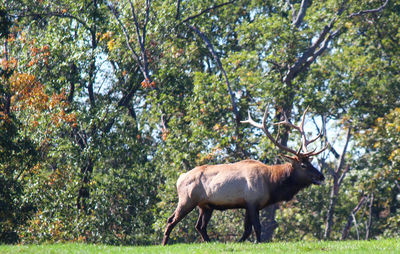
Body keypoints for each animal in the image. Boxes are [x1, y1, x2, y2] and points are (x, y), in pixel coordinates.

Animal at [161, 104, 326, 245]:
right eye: (303, 165)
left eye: (311, 162)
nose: (321, 176)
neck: (272, 184)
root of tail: (180, 178)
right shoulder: (252, 201)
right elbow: (257, 227)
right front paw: (258, 242)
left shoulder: (248, 204)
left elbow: (247, 230)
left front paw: (240, 242)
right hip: (187, 199)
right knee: (171, 220)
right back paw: (164, 243)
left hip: (206, 205)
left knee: (199, 226)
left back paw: (209, 242)